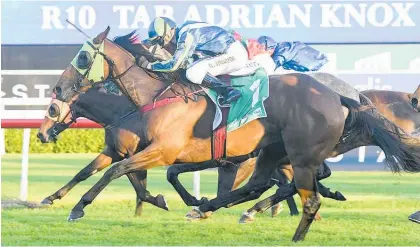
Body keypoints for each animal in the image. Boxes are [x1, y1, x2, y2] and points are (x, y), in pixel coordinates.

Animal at [45, 27, 420, 241]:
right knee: (264, 185)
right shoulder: (160, 153)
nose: (58, 90)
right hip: (273, 151)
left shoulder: (164, 150)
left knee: (301, 191)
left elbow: (117, 171)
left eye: (82, 56)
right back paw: (218, 208)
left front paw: (78, 208)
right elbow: (123, 173)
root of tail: (340, 95)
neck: (155, 97)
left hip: (299, 154)